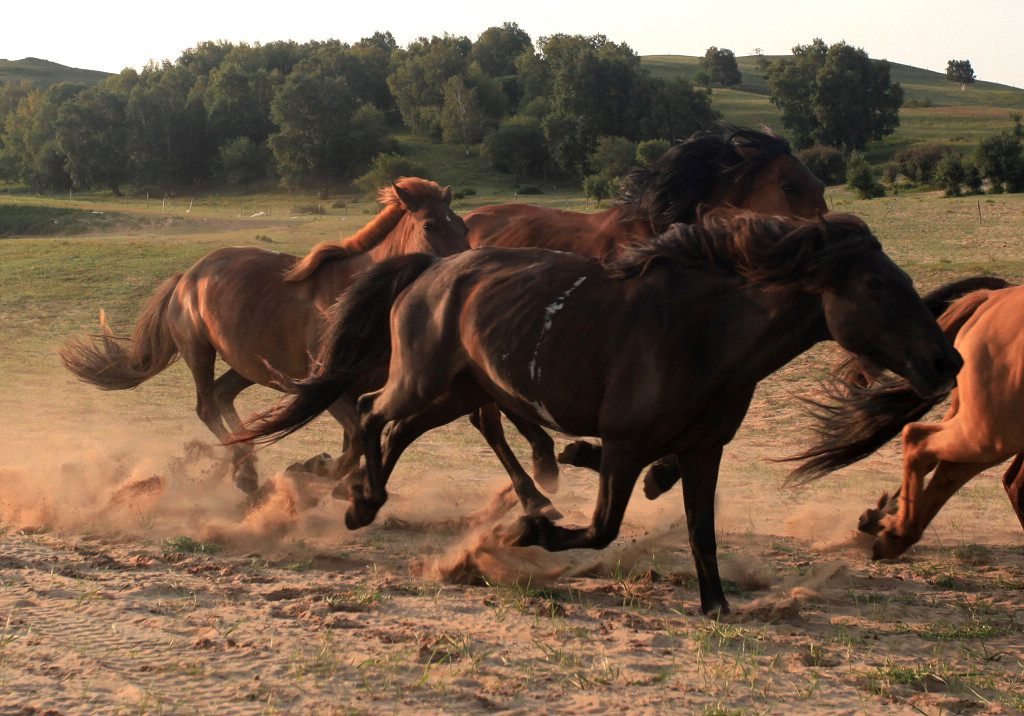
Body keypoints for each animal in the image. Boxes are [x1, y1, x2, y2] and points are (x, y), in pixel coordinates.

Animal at [59, 176, 468, 495]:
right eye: (430, 226)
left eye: (463, 226)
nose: (467, 267)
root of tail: (186, 277)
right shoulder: (328, 388)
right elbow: (350, 446)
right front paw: (311, 470)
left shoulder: (359, 390)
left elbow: (354, 446)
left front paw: (332, 484)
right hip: (200, 352)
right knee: (207, 406)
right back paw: (244, 471)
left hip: (248, 364)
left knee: (222, 396)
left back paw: (243, 464)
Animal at [237, 208, 958, 614]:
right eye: (876, 283)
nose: (946, 361)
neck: (704, 333)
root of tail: (427, 270)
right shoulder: (627, 443)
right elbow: (602, 527)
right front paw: (520, 533)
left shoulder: (703, 450)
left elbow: (700, 530)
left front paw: (717, 604)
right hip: (424, 379)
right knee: (369, 410)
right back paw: (360, 502)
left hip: (457, 391)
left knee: (399, 428)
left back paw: (368, 499)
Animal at [790, 280, 1024, 561]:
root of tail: (990, 298)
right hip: (991, 429)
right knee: (924, 444)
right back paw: (892, 533)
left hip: (987, 424)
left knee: (955, 469)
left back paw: (882, 527)